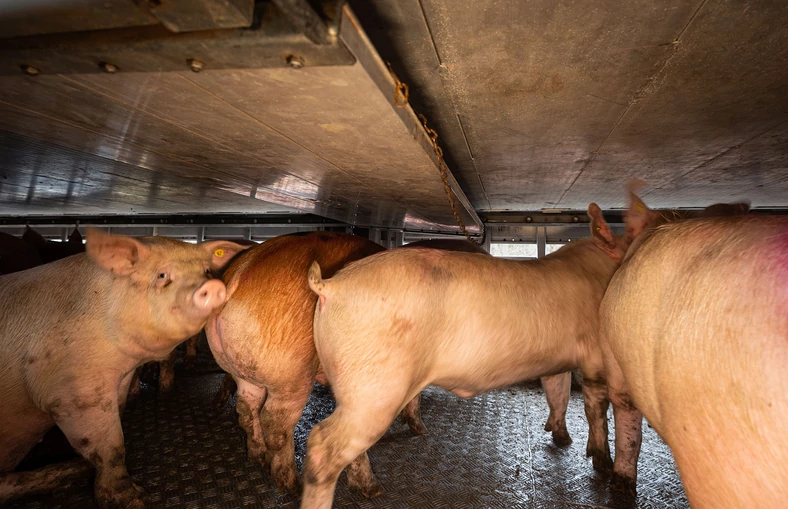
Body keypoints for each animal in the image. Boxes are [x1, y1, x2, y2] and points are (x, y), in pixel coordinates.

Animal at [0, 228, 249, 506]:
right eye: (162, 275)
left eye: (206, 271)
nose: (213, 286)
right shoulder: (72, 392)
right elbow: (110, 446)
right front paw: (136, 500)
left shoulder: (119, 378)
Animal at [206, 232, 430, 494]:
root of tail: (241, 274)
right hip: (292, 373)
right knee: (275, 424)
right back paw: (294, 485)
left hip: (243, 369)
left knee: (246, 408)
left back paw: (257, 458)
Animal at [302, 203, 636, 508]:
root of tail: (331, 285)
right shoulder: (597, 353)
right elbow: (597, 406)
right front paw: (602, 464)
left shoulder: (558, 359)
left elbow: (559, 392)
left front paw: (562, 438)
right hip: (376, 386)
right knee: (322, 445)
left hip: (356, 385)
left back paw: (371, 489)